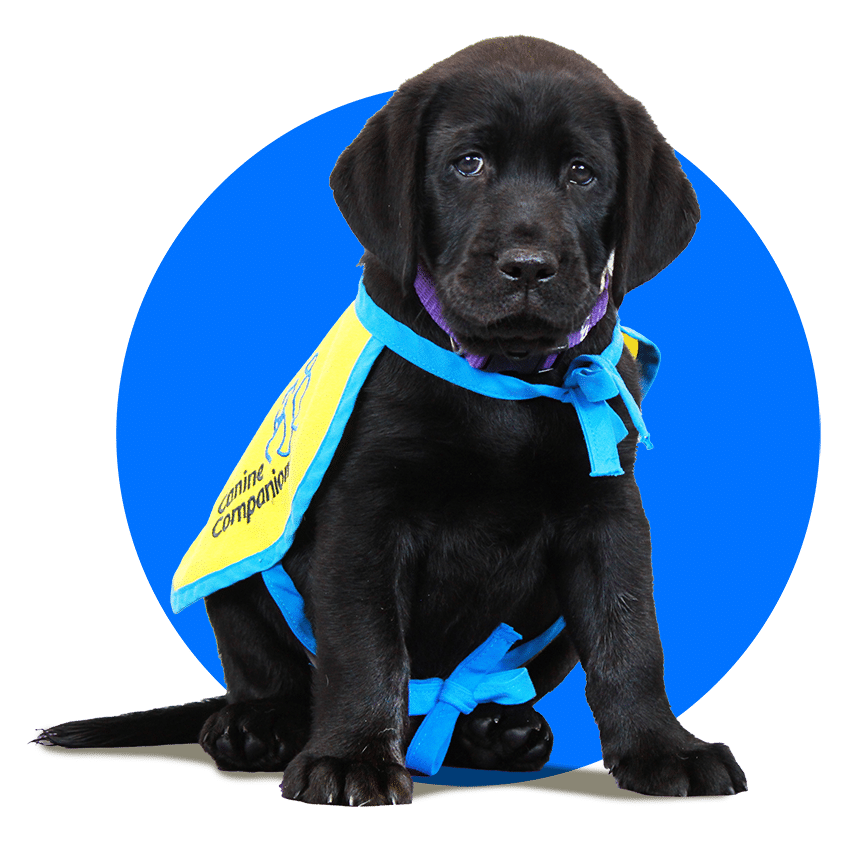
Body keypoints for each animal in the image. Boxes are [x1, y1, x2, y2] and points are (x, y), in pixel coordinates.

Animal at [37, 33, 744, 804]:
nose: (528, 266)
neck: (504, 378)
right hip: (239, 586)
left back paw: (493, 730)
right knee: (276, 678)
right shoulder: (364, 516)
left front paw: (663, 747)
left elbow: (630, 639)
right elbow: (366, 647)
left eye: (582, 175)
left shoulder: (607, 514)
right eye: (467, 164)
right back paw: (255, 728)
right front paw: (350, 757)